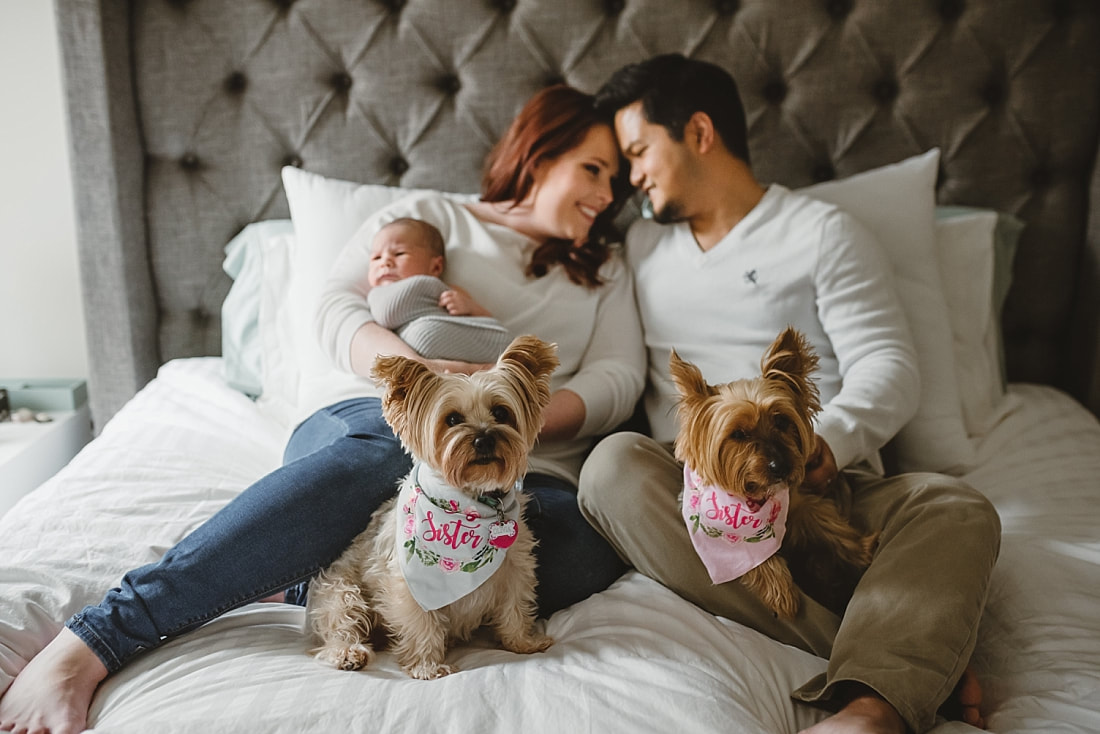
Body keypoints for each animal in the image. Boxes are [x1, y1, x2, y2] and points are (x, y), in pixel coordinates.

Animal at [310, 336, 558, 682]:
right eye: (452, 419)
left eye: (501, 412)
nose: (484, 439)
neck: (470, 501)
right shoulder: (407, 582)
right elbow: (420, 622)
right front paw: (427, 666)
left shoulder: (515, 566)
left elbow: (515, 607)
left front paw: (522, 643)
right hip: (341, 589)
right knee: (340, 625)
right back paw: (348, 653)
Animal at [668, 327, 875, 620]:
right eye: (738, 434)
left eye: (781, 420)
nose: (782, 467)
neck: (755, 495)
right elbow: (753, 557)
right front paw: (781, 593)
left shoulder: (800, 502)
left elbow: (827, 523)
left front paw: (862, 549)